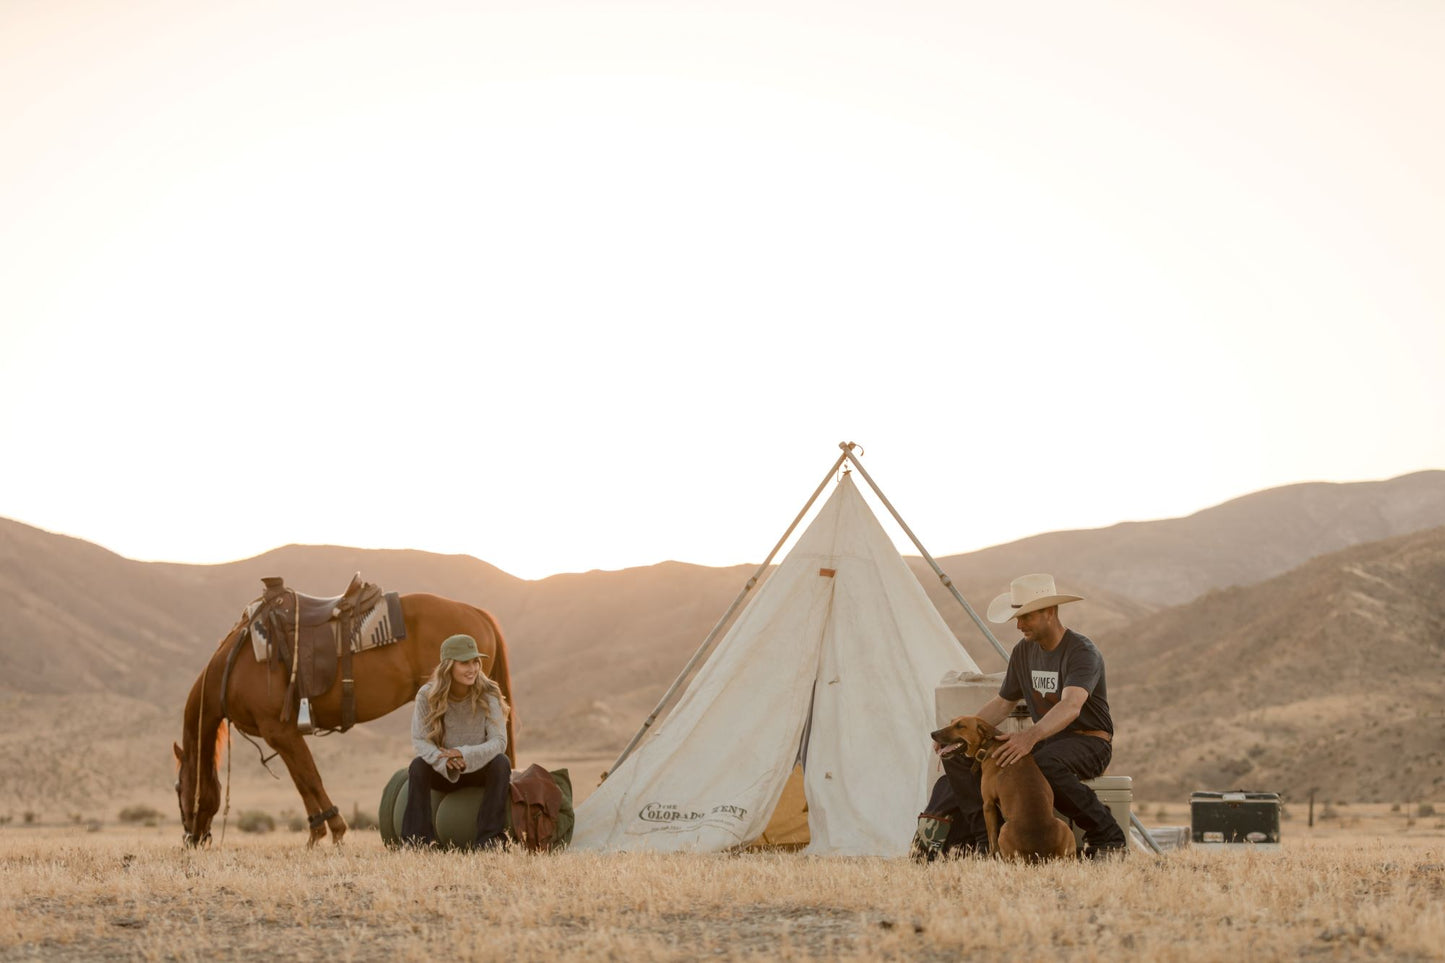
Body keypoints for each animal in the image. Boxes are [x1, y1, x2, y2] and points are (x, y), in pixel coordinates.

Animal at [174, 589, 514, 844]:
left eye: (178, 788)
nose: (191, 837)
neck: (234, 666)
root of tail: (476, 613)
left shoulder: (278, 731)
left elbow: (310, 777)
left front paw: (335, 830)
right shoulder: (283, 735)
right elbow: (302, 780)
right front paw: (316, 833)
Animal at [930, 717, 1080, 856]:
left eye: (960, 726)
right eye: (951, 722)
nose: (932, 733)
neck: (990, 745)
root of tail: (1041, 853)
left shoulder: (988, 804)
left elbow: (992, 839)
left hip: (1004, 829)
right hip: (1065, 828)